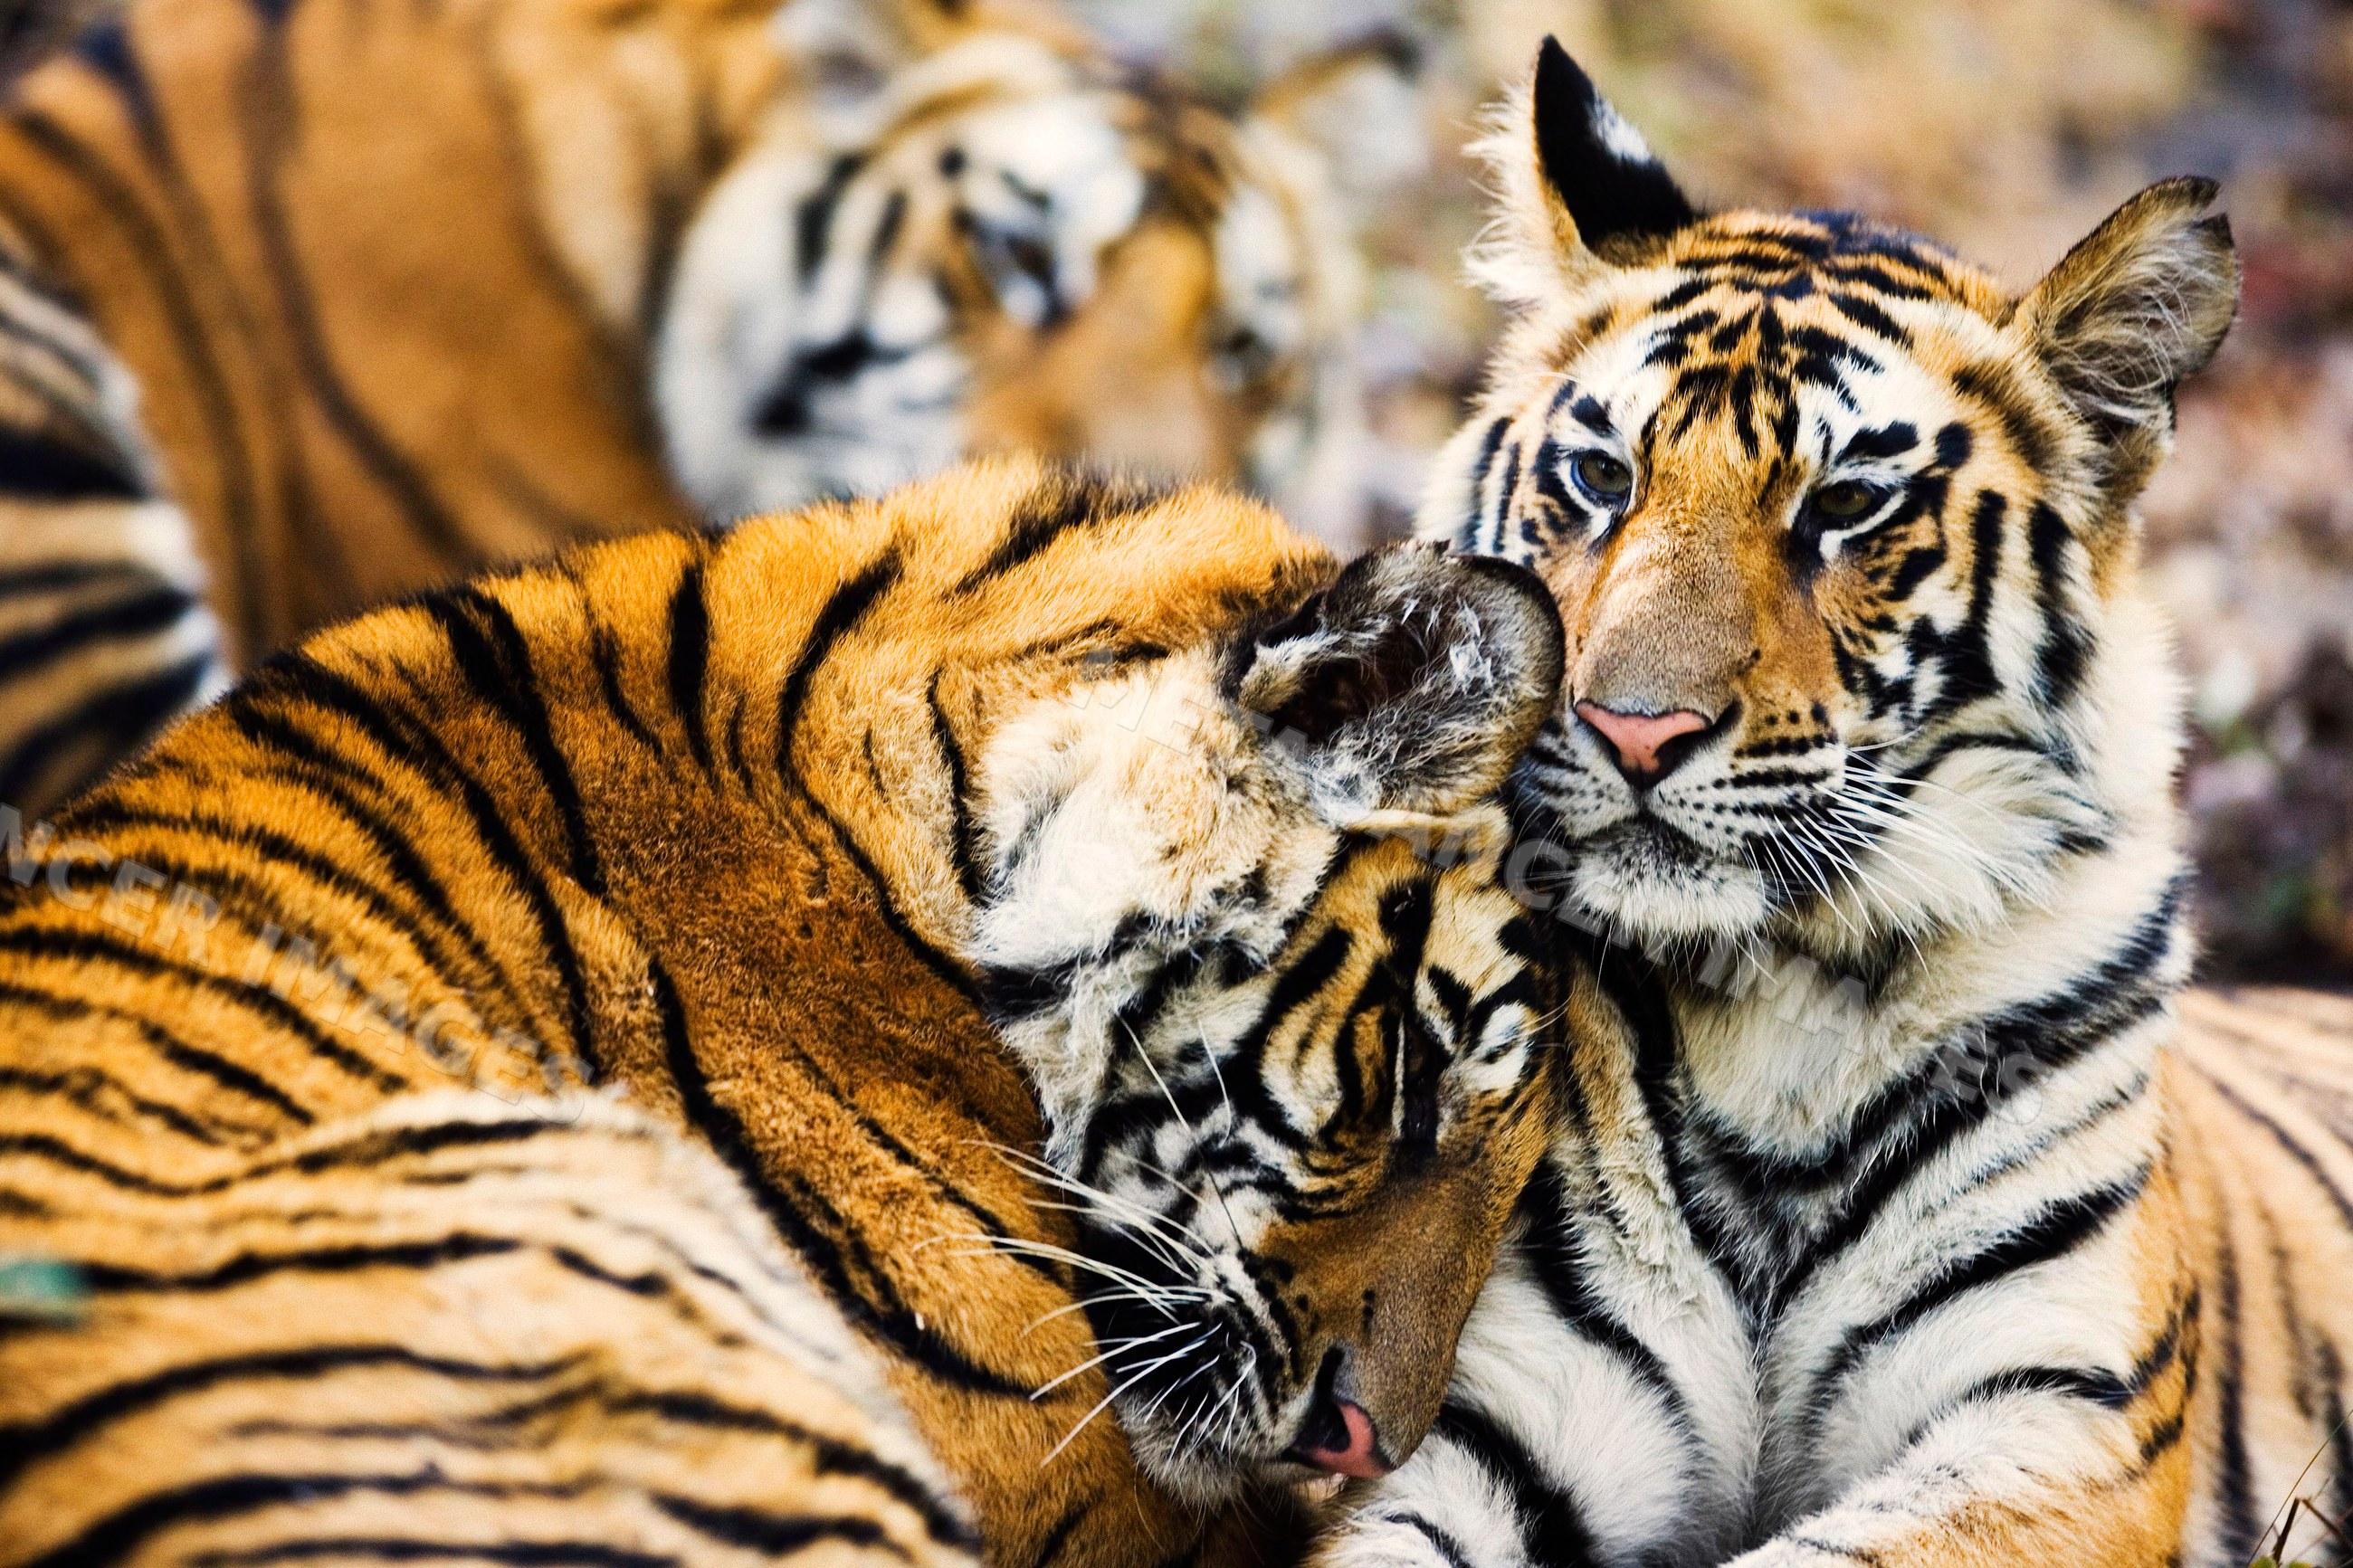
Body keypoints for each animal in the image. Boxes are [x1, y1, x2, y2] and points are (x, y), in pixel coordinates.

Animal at [1301, 39, 2353, 1568]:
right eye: (1600, 475)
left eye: (1848, 504)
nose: (1634, 726)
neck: (1777, 1012)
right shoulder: (1487, 1419)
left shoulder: (2056, 1420)